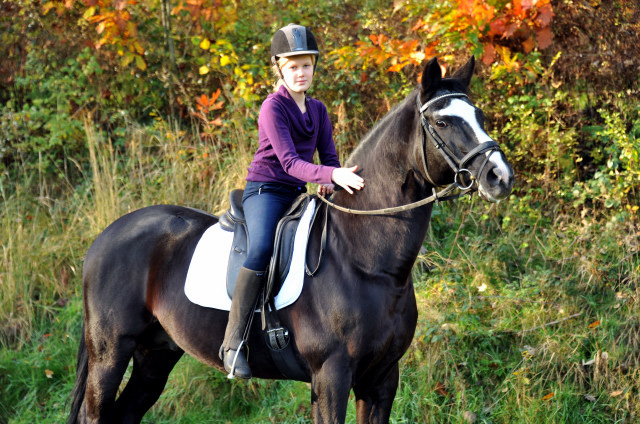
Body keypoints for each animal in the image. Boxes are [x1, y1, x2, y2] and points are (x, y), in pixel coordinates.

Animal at [66, 57, 516, 424]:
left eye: (478, 114)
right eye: (442, 122)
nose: (500, 176)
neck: (365, 262)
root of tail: (105, 237)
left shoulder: (382, 378)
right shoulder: (332, 376)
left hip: (155, 355)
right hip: (110, 352)